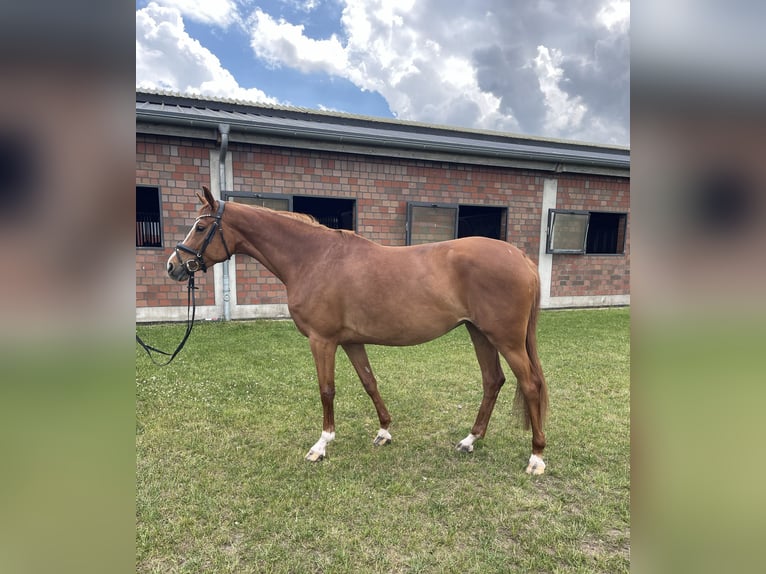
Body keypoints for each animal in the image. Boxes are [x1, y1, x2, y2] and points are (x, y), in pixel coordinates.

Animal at [167, 186, 549, 474]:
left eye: (200, 228)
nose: (173, 266)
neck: (314, 258)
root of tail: (521, 258)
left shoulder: (322, 341)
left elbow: (327, 390)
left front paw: (321, 445)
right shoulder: (351, 342)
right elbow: (369, 382)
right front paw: (384, 432)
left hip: (506, 339)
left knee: (530, 384)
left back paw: (536, 457)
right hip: (479, 333)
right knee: (493, 380)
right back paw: (470, 440)